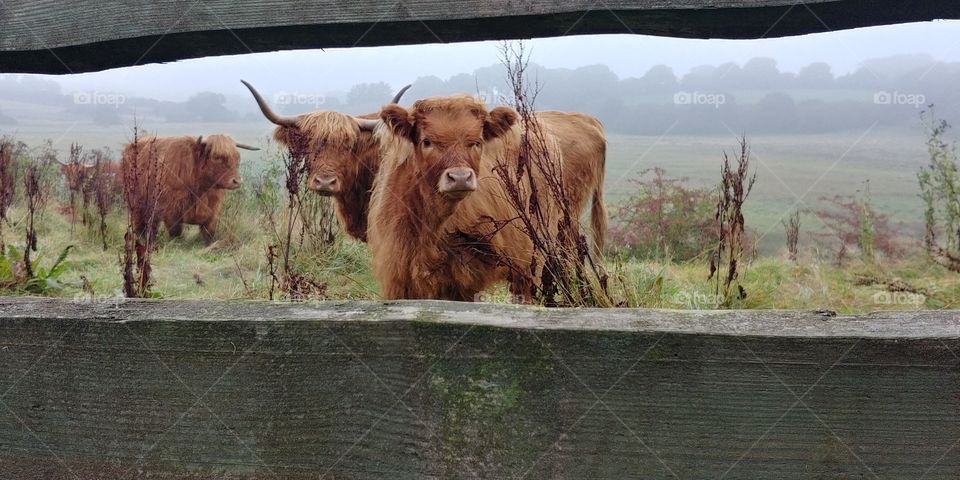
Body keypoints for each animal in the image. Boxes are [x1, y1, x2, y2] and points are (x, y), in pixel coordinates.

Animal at [121, 134, 258, 244]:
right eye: (216, 157)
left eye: (237, 157)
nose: (237, 181)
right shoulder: (171, 209)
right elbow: (175, 231)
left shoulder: (213, 208)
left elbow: (209, 231)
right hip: (136, 202)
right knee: (141, 223)